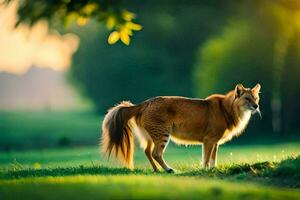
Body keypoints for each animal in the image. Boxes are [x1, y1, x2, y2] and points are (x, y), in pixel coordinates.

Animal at [100, 83, 260, 173]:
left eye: (256, 98)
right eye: (247, 98)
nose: (256, 106)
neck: (228, 109)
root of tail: (144, 103)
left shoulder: (215, 142)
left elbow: (213, 158)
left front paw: (213, 170)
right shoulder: (209, 140)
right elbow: (206, 158)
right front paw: (206, 171)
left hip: (150, 135)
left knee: (147, 151)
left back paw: (156, 170)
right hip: (163, 134)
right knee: (156, 153)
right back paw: (168, 169)